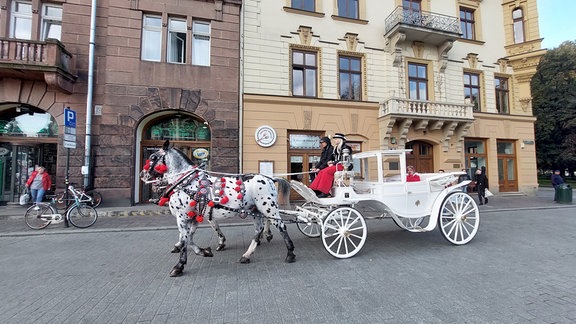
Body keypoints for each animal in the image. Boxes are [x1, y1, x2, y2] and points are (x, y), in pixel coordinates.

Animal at [138, 140, 294, 278]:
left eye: (153, 157)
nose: (142, 175)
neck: (187, 183)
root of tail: (269, 178)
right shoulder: (193, 217)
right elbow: (189, 238)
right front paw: (203, 251)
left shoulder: (182, 218)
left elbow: (184, 241)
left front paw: (179, 266)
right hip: (255, 210)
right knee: (258, 230)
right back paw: (247, 255)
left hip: (268, 207)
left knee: (281, 226)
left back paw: (290, 253)